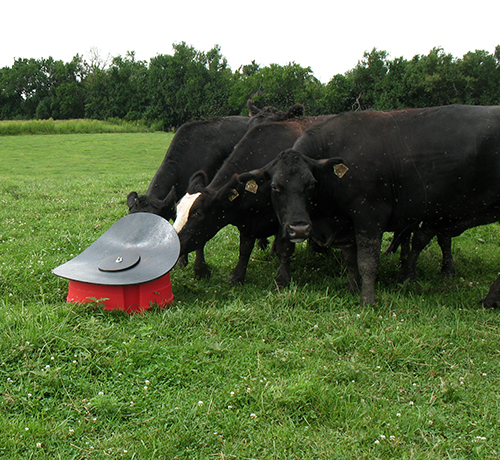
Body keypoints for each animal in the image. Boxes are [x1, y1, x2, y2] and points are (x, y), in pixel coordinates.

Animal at [174, 116, 334, 284]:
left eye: (197, 213)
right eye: (177, 210)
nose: (173, 243)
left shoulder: (286, 218)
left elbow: (284, 247)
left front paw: (282, 279)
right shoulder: (248, 220)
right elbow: (245, 248)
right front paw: (237, 276)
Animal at [238, 104, 500, 306]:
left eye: (311, 184)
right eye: (275, 187)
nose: (299, 229)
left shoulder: (370, 215)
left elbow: (367, 261)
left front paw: (367, 300)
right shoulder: (345, 224)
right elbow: (350, 257)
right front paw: (353, 287)